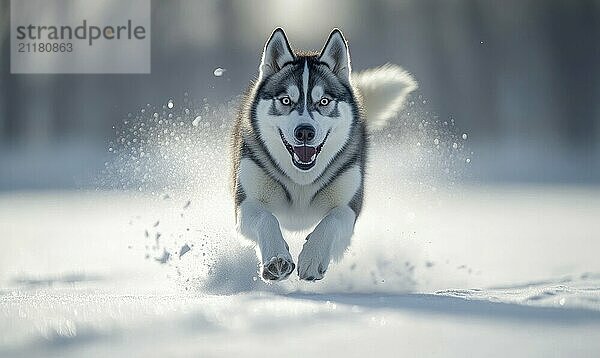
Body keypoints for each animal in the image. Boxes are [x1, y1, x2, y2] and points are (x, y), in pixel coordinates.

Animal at [231, 28, 418, 282]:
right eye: (286, 100)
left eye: (324, 101)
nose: (304, 132)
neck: (301, 179)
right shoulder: (247, 202)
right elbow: (265, 217)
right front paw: (277, 259)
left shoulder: (348, 205)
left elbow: (333, 219)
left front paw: (313, 257)